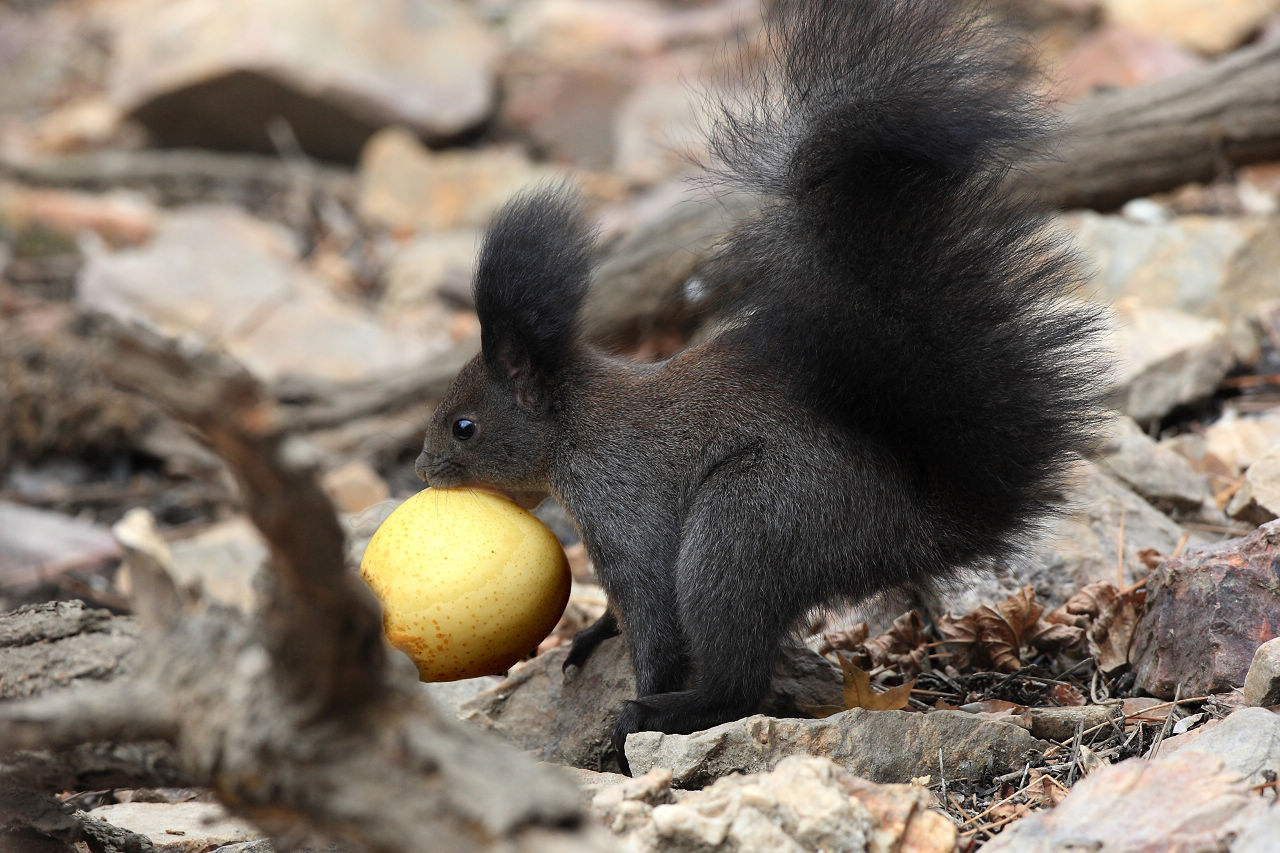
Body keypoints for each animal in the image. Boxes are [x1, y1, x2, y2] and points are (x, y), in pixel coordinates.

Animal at [414, 0, 1105, 768]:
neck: (575, 424)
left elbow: (653, 613)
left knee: (739, 683)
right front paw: (596, 632)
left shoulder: (624, 502)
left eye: (464, 426)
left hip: (749, 524)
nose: (423, 470)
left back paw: (667, 711)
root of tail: (918, 523)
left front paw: (633, 702)